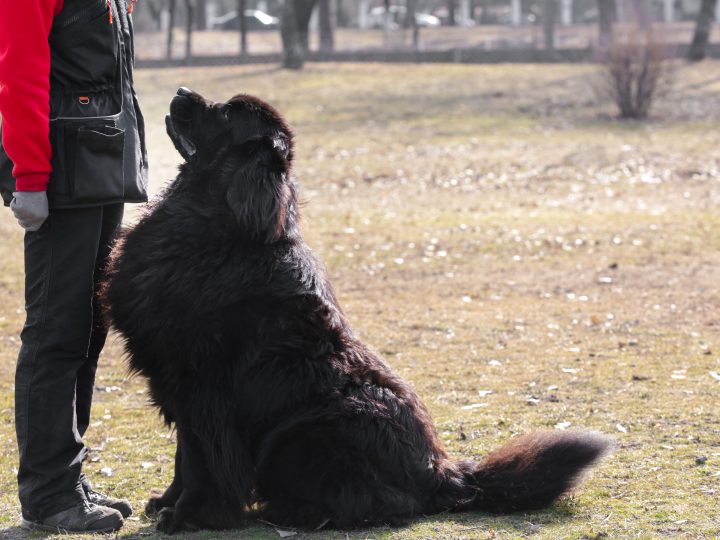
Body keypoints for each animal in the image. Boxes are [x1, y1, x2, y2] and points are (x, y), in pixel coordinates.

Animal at [101, 87, 612, 532]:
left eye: (225, 113)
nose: (181, 92)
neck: (218, 230)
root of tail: (443, 473)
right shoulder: (177, 384)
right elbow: (184, 455)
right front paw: (166, 501)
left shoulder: (203, 388)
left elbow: (204, 460)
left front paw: (190, 516)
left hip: (304, 436)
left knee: (383, 503)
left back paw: (295, 512)